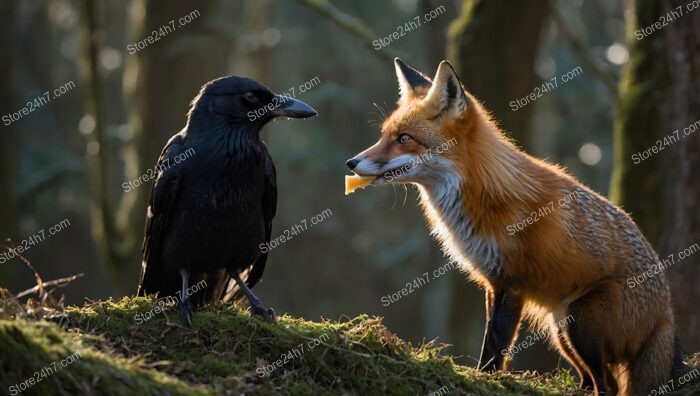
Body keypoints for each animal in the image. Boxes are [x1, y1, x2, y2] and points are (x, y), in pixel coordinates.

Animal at [346, 59, 684, 396]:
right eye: (383, 135)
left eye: (404, 138)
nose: (351, 163)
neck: (483, 194)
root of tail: (666, 314)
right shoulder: (492, 281)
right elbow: (490, 341)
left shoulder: (513, 283)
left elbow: (496, 346)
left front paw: (485, 380)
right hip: (561, 330)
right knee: (597, 381)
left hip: (580, 323)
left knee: (608, 385)